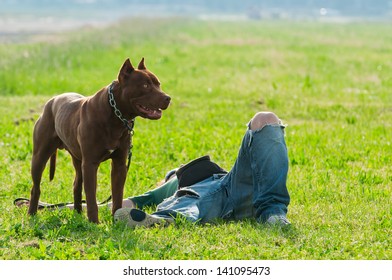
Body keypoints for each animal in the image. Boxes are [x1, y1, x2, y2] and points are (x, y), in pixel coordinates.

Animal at [26, 57, 170, 223]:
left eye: (158, 84)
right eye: (145, 85)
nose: (168, 98)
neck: (116, 115)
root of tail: (53, 100)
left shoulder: (119, 165)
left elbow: (117, 195)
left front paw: (116, 219)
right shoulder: (90, 164)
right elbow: (91, 197)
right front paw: (94, 222)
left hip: (77, 159)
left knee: (77, 184)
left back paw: (77, 213)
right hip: (40, 157)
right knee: (36, 187)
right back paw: (32, 213)